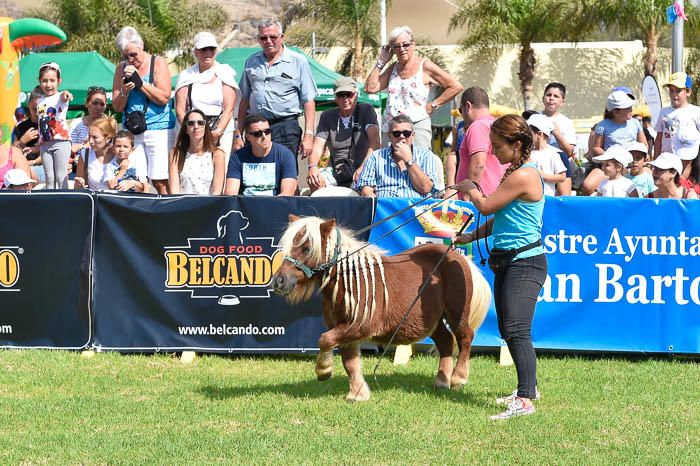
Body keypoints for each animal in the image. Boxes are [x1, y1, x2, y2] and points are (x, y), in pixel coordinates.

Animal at [270, 215, 490, 400]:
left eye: (307, 248)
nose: (279, 281)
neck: (351, 280)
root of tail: (459, 257)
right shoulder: (344, 329)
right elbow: (349, 362)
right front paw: (357, 393)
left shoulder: (360, 327)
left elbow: (325, 340)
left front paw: (324, 370)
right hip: (431, 320)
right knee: (445, 341)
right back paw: (442, 382)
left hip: (456, 313)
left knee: (465, 337)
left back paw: (458, 377)